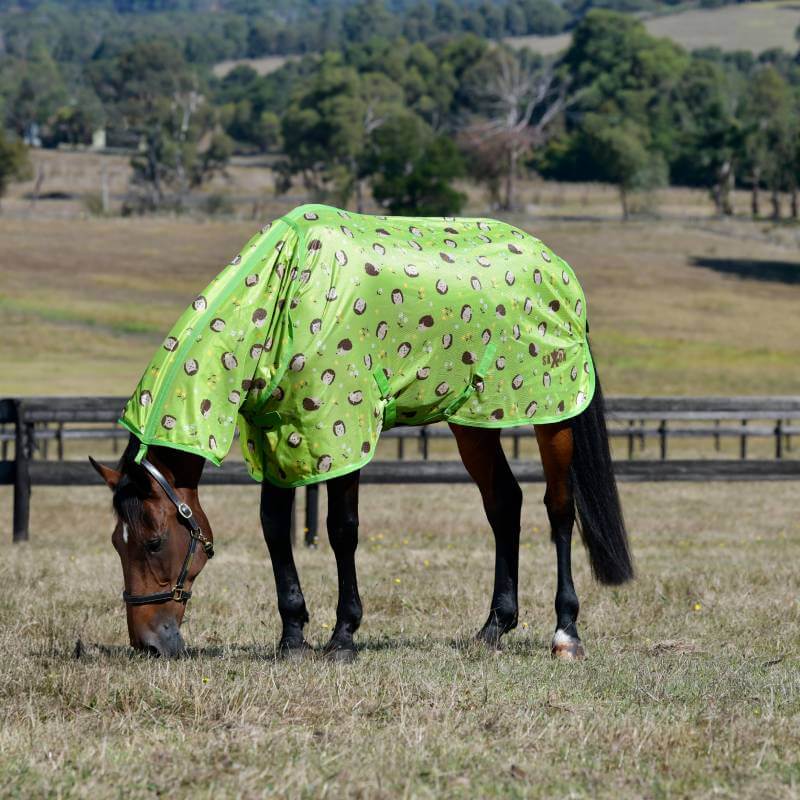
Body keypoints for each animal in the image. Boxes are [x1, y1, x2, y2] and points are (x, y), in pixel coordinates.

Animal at [90, 203, 633, 660]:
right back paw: (494, 627)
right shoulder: (278, 436)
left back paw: (565, 633)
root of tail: (560, 271)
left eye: (154, 541)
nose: (148, 644)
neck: (283, 293)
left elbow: (341, 529)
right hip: (474, 421)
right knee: (504, 504)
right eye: (116, 543)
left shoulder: (340, 432)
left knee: (559, 509)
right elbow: (273, 526)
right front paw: (292, 637)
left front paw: (343, 636)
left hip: (552, 414)